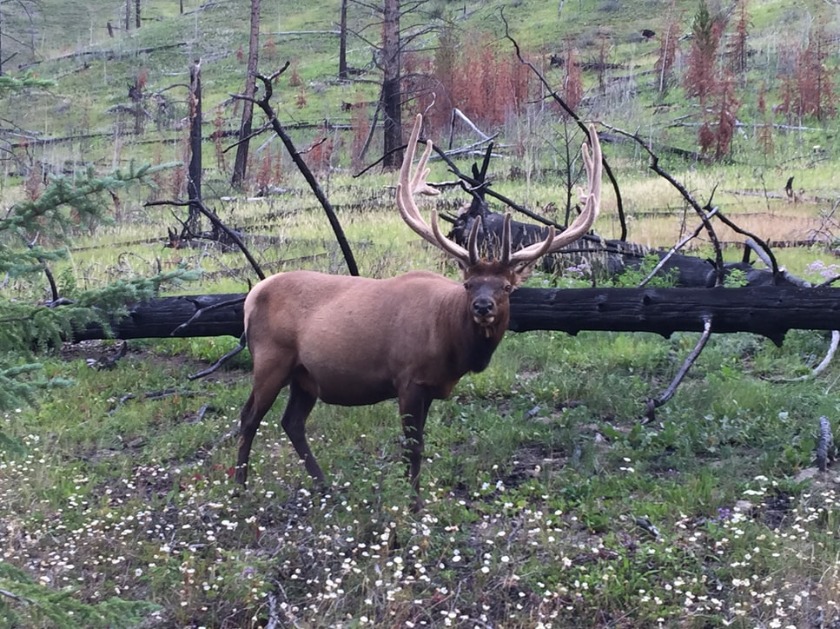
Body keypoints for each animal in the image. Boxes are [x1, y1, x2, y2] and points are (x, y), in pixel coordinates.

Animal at [235, 113, 604, 508]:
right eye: (468, 283)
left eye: (506, 287)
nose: (483, 306)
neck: (451, 343)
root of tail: (251, 296)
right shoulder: (408, 377)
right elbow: (413, 446)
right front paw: (412, 504)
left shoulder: (428, 387)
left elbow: (417, 446)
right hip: (271, 358)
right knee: (249, 417)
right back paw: (239, 486)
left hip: (305, 375)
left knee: (292, 422)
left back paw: (324, 486)